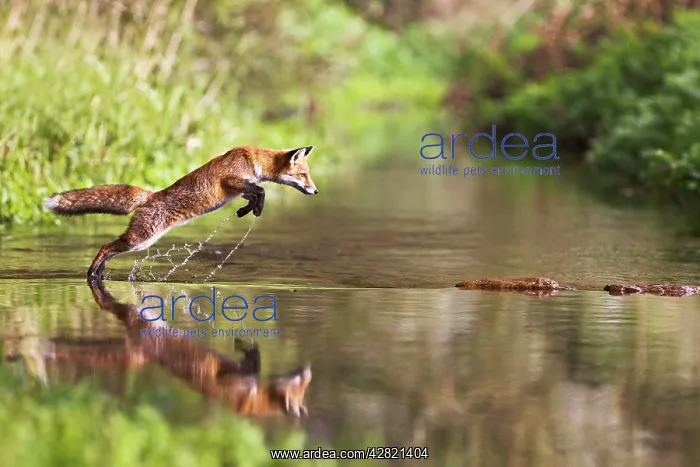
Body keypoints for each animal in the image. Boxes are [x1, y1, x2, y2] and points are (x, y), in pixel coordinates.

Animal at [43, 145, 318, 279]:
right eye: (303, 175)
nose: (315, 191)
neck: (254, 161)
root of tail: (151, 195)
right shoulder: (232, 180)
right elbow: (261, 191)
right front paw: (256, 208)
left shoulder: (240, 188)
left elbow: (254, 194)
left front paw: (246, 211)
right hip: (141, 239)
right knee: (105, 247)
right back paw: (92, 273)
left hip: (140, 241)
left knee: (109, 250)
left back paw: (98, 273)